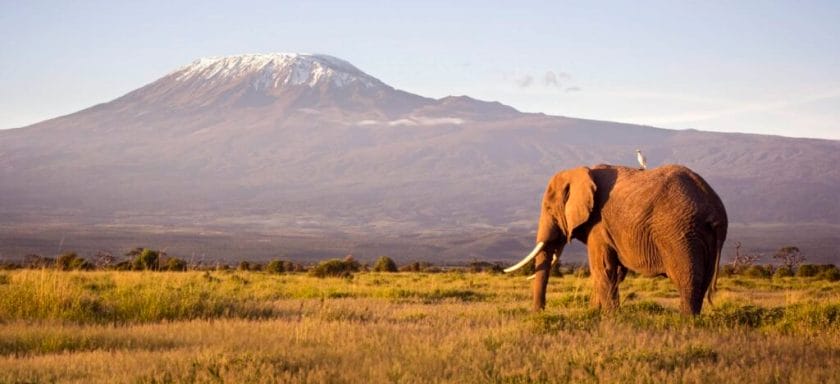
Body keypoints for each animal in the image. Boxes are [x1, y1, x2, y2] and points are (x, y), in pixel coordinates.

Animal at [506, 163, 728, 316]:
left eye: (549, 208)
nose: (539, 313)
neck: (581, 171)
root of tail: (714, 209)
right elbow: (614, 273)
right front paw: (594, 313)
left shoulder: (599, 225)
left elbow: (603, 269)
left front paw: (609, 317)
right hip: (700, 236)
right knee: (702, 281)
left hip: (680, 235)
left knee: (687, 279)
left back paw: (684, 322)